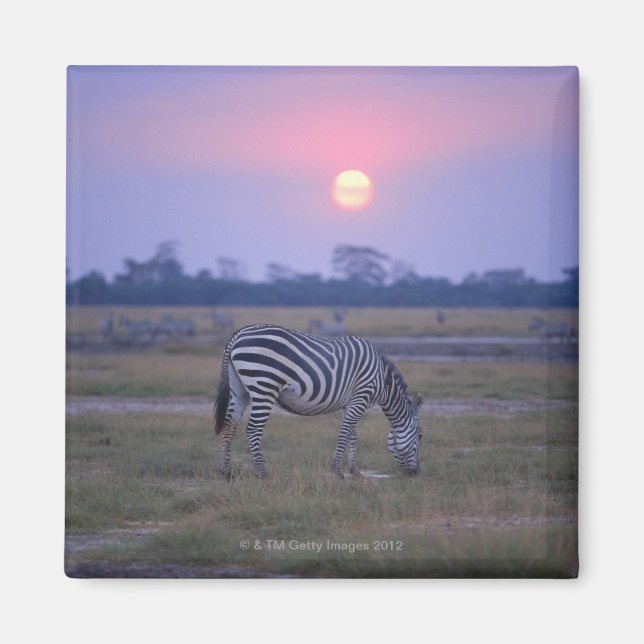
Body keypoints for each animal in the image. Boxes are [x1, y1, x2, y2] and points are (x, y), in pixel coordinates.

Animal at [214, 324, 424, 480]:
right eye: (420, 436)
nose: (416, 474)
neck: (382, 381)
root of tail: (239, 334)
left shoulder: (351, 402)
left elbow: (353, 434)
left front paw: (355, 472)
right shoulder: (361, 396)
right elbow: (345, 432)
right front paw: (338, 472)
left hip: (239, 390)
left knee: (229, 425)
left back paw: (226, 472)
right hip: (264, 385)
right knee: (253, 429)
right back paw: (264, 474)